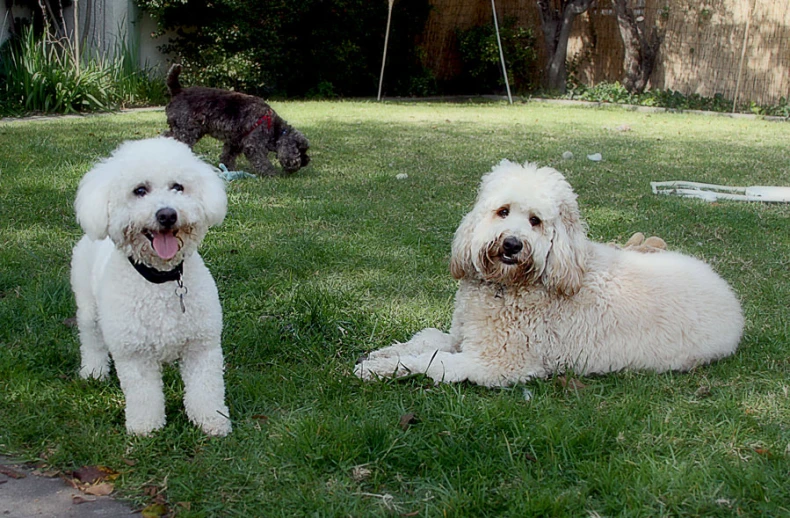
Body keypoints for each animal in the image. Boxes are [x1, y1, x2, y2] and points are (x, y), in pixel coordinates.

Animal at [71, 137, 234, 434]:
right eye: (140, 190)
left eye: (178, 187)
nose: (167, 215)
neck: (160, 279)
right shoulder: (134, 355)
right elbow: (144, 395)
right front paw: (145, 428)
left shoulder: (201, 346)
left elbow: (206, 389)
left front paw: (212, 421)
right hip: (87, 307)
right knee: (91, 340)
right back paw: (93, 371)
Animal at [166, 64, 310, 175]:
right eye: (301, 150)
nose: (307, 161)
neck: (274, 127)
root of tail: (178, 91)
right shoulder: (254, 146)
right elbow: (261, 161)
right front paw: (271, 173)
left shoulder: (234, 143)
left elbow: (227, 157)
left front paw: (227, 169)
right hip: (186, 132)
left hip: (182, 130)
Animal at [356, 160, 744, 388]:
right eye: (503, 211)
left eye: (536, 221)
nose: (512, 244)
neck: (510, 286)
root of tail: (730, 296)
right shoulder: (462, 335)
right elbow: (426, 339)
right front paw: (382, 355)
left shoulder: (496, 363)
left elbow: (430, 361)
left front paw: (380, 369)